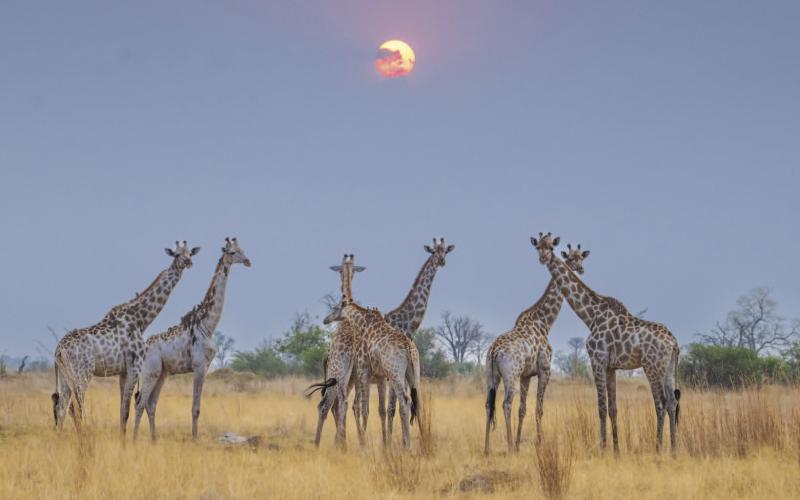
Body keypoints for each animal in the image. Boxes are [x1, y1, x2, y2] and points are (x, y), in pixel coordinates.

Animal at [52, 241, 199, 433]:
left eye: (190, 253)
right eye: (176, 254)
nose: (189, 262)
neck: (141, 320)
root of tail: (59, 350)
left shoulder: (122, 371)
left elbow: (122, 410)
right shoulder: (134, 367)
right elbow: (127, 411)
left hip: (65, 376)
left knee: (62, 407)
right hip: (82, 373)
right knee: (76, 407)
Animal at [133, 237, 251, 441]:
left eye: (242, 249)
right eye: (232, 252)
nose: (247, 261)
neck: (207, 326)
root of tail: (144, 348)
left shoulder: (205, 366)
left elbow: (196, 407)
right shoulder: (199, 366)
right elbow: (195, 408)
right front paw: (194, 439)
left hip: (162, 373)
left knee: (151, 403)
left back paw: (154, 439)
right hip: (150, 371)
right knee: (140, 402)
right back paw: (132, 439)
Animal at [484, 236, 591, 454]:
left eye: (580, 257)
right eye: (572, 259)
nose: (581, 269)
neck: (545, 322)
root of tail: (494, 351)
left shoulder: (526, 376)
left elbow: (523, 409)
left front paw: (519, 443)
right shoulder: (544, 370)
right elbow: (539, 408)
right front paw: (538, 444)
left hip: (491, 375)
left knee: (489, 405)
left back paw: (487, 447)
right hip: (510, 375)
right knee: (506, 403)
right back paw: (508, 447)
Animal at [532, 232, 681, 454]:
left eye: (551, 247)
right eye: (537, 247)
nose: (543, 259)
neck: (591, 315)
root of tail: (674, 343)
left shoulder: (597, 361)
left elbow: (601, 407)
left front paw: (602, 447)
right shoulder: (611, 367)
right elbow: (613, 408)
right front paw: (616, 449)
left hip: (652, 366)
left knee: (661, 403)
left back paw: (658, 447)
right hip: (669, 367)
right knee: (671, 402)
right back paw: (673, 448)